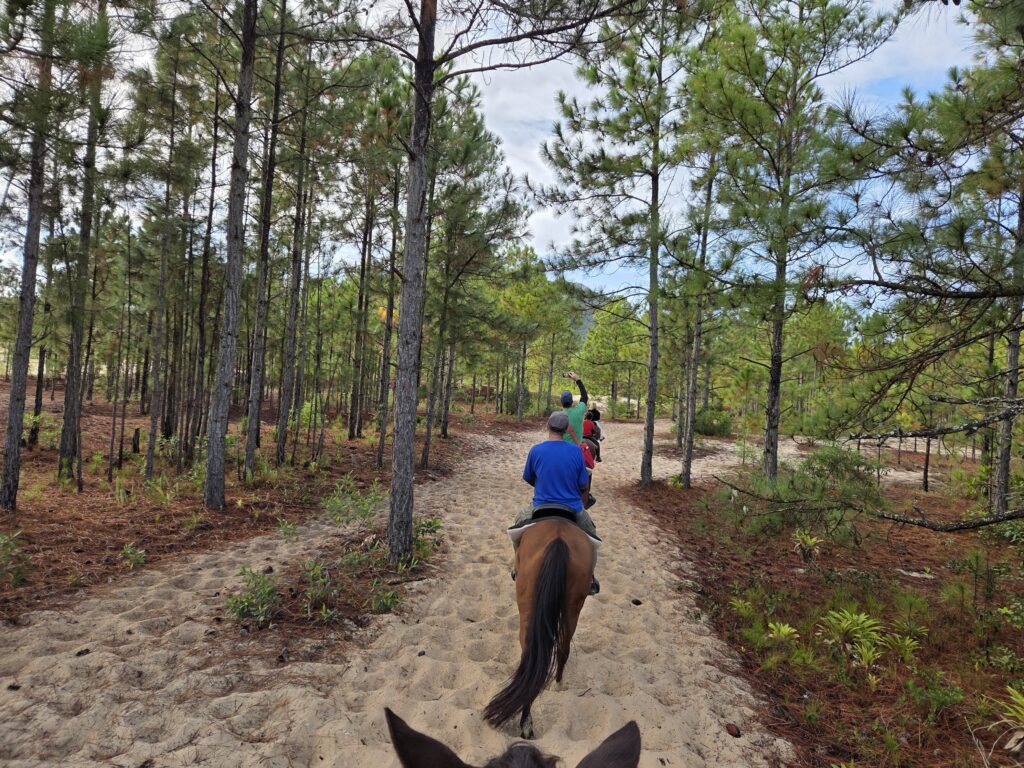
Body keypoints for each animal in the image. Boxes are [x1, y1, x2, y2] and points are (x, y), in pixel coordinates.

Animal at [484, 514, 596, 739]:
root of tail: (558, 540)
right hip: (573, 606)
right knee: (562, 648)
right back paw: (557, 686)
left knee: (531, 653)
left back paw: (527, 721)